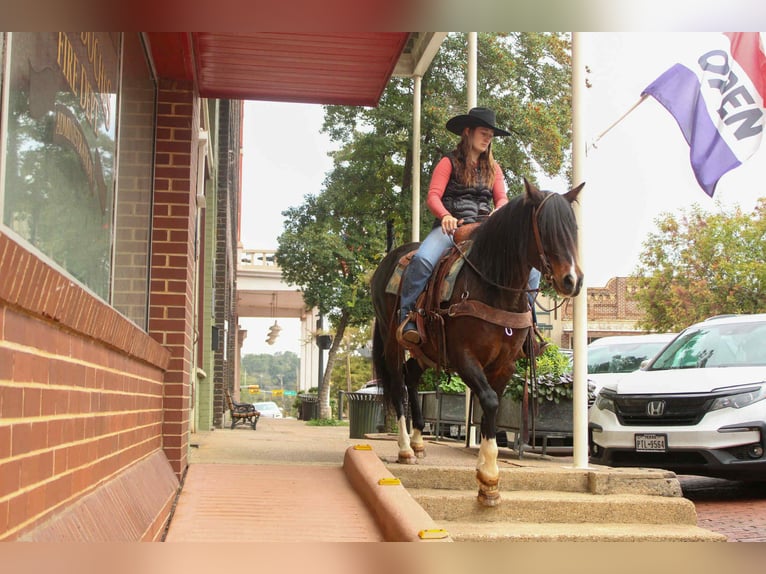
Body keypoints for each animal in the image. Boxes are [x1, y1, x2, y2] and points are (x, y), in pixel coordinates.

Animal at [370, 179, 584, 506]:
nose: (572, 280)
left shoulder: (505, 365)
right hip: (390, 339)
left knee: (411, 376)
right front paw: (489, 475)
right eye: (545, 228)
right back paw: (405, 448)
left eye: (573, 228)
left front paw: (487, 477)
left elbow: (489, 407)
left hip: (425, 349)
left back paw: (419, 442)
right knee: (397, 383)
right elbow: (490, 401)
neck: (494, 286)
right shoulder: (464, 358)